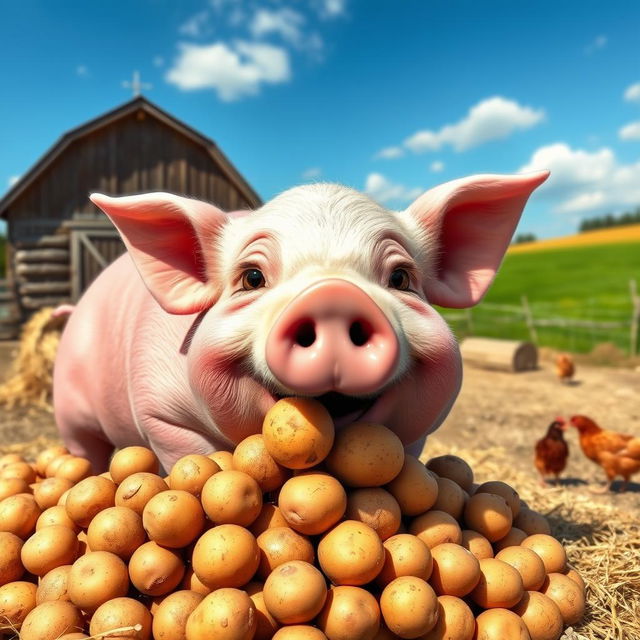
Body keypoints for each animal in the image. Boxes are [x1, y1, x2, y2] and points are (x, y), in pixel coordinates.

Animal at [52, 170, 548, 470]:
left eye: (401, 278)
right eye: (252, 277)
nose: (333, 296)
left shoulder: (418, 431)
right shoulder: (160, 414)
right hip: (70, 407)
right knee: (85, 448)